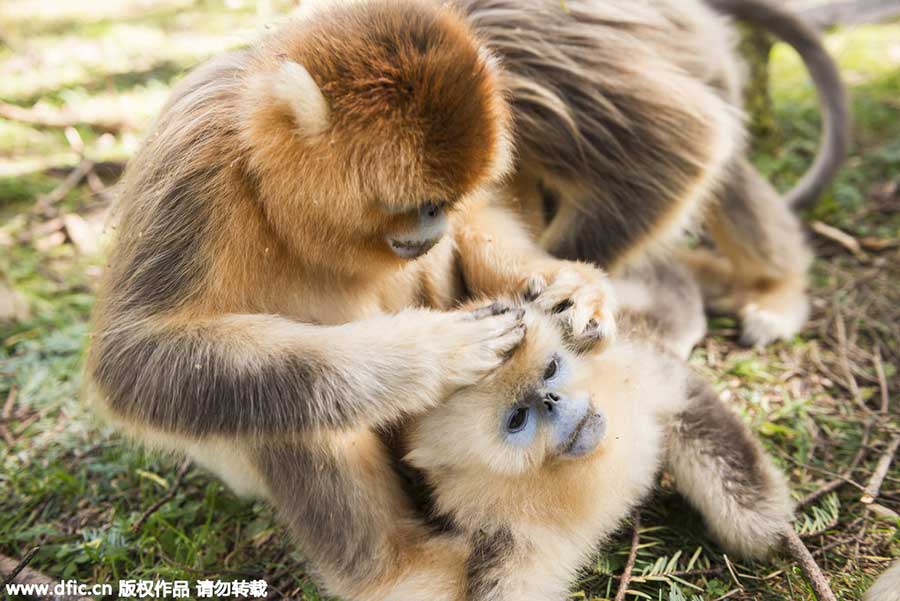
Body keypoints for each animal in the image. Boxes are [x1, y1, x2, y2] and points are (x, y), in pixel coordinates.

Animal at [84, 1, 619, 599]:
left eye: (445, 202)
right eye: (423, 203)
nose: (436, 223)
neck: (266, 184)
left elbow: (478, 224)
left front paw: (567, 286)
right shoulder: (194, 163)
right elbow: (135, 358)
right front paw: (431, 352)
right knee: (299, 401)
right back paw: (396, 572)